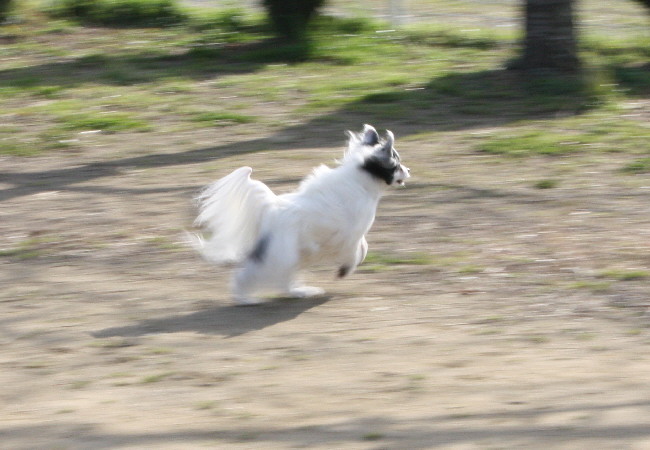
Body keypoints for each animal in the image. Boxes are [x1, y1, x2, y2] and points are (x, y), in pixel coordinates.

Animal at [190, 125, 410, 305]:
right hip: (281, 255)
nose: (408, 170)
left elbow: (363, 247)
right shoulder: (350, 235)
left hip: (292, 256)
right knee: (251, 276)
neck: (361, 180)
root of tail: (270, 208)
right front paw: (344, 270)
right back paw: (245, 299)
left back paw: (300, 292)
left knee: (283, 281)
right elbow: (358, 251)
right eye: (397, 164)